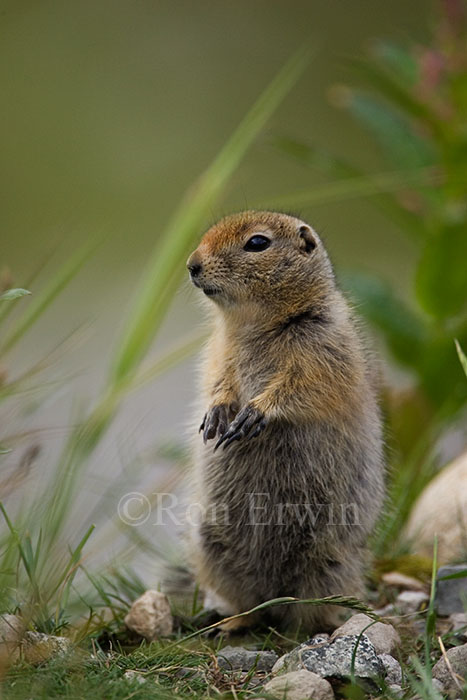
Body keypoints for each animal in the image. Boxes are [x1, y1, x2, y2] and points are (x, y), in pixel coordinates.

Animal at [186, 211, 384, 632]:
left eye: (257, 243)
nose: (192, 264)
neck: (254, 323)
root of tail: (272, 598)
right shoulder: (219, 350)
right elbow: (218, 379)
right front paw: (217, 415)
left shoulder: (323, 347)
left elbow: (302, 386)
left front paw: (254, 413)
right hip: (211, 545)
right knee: (248, 605)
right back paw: (230, 623)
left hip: (329, 559)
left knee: (308, 609)